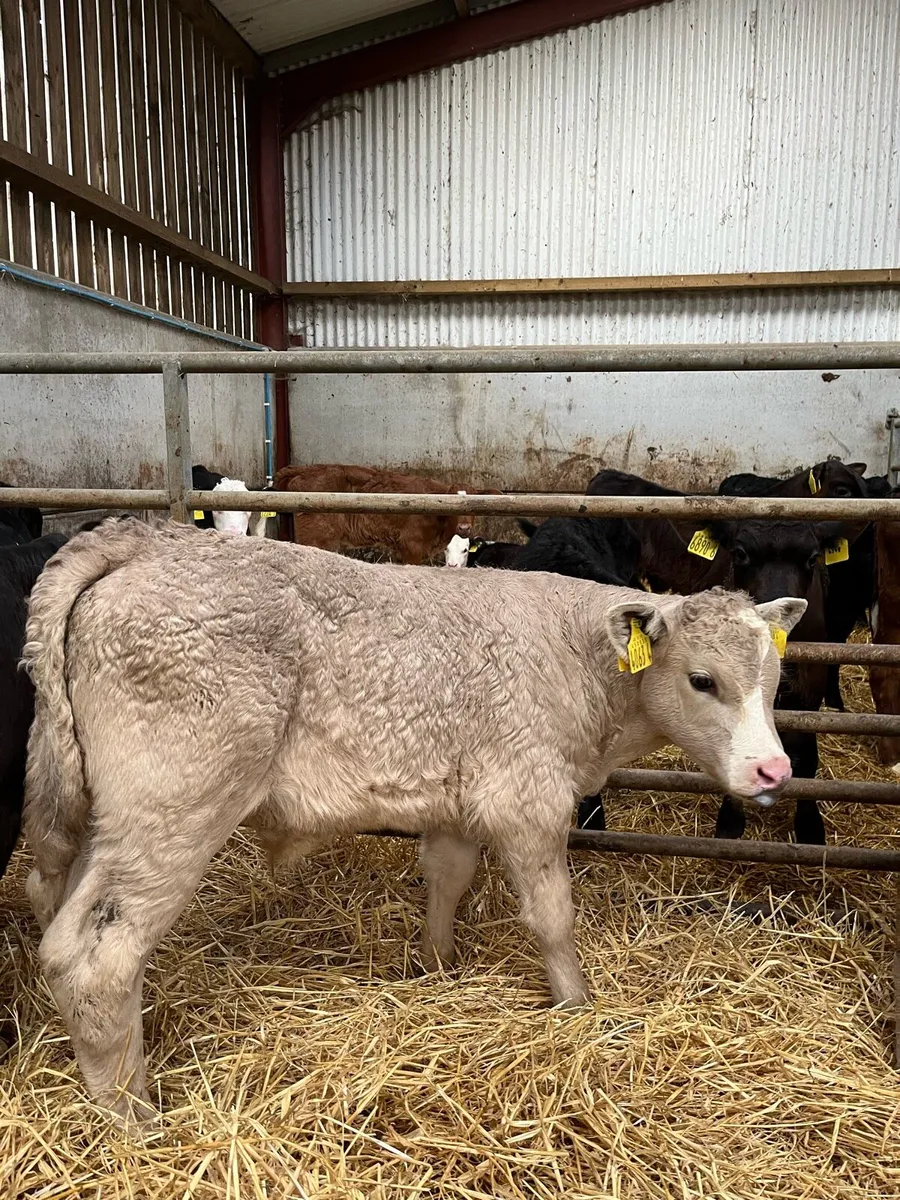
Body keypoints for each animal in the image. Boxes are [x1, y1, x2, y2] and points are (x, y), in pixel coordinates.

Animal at [22, 517, 804, 1121]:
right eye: (703, 680)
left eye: (774, 679)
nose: (774, 770)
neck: (575, 655)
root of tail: (144, 542)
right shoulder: (528, 797)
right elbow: (553, 915)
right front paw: (578, 1008)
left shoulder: (457, 799)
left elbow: (447, 880)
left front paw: (437, 967)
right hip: (172, 812)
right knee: (94, 957)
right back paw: (132, 1115)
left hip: (102, 819)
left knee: (57, 913)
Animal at [274, 464, 498, 564]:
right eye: (451, 503)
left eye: (476, 504)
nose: (464, 528)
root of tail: (305, 469)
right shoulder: (412, 546)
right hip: (316, 538)